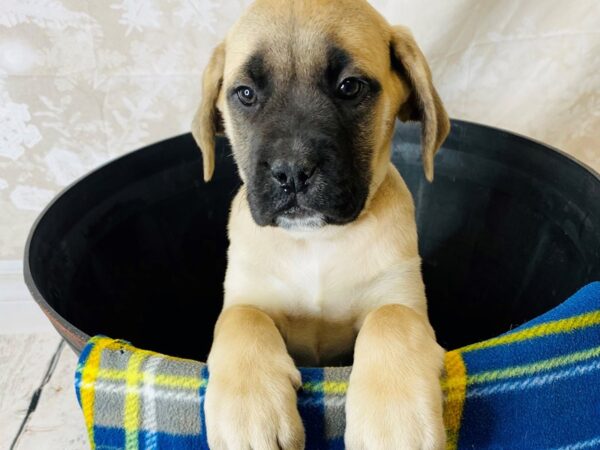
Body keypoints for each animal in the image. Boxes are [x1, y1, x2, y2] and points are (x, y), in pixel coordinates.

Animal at [192, 0, 450, 446]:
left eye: (350, 87)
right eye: (246, 93)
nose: (293, 173)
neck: (316, 241)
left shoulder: (401, 298)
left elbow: (391, 318)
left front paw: (393, 422)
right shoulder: (247, 296)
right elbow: (244, 319)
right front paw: (249, 412)